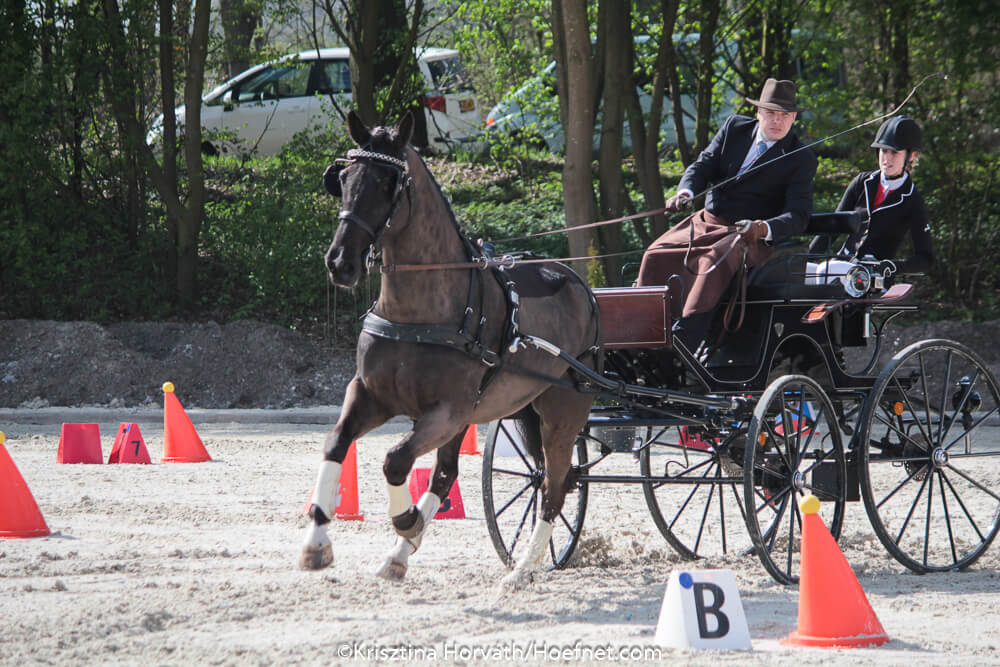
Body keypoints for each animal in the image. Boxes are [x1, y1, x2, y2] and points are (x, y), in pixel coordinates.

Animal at [300, 110, 601, 587]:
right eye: (342, 178)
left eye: (388, 183)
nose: (340, 262)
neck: (420, 314)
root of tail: (579, 286)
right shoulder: (372, 396)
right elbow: (336, 443)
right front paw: (317, 542)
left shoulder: (447, 412)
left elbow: (395, 460)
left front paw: (406, 520)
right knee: (454, 474)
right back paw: (403, 554)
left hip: (561, 412)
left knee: (554, 485)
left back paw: (522, 569)